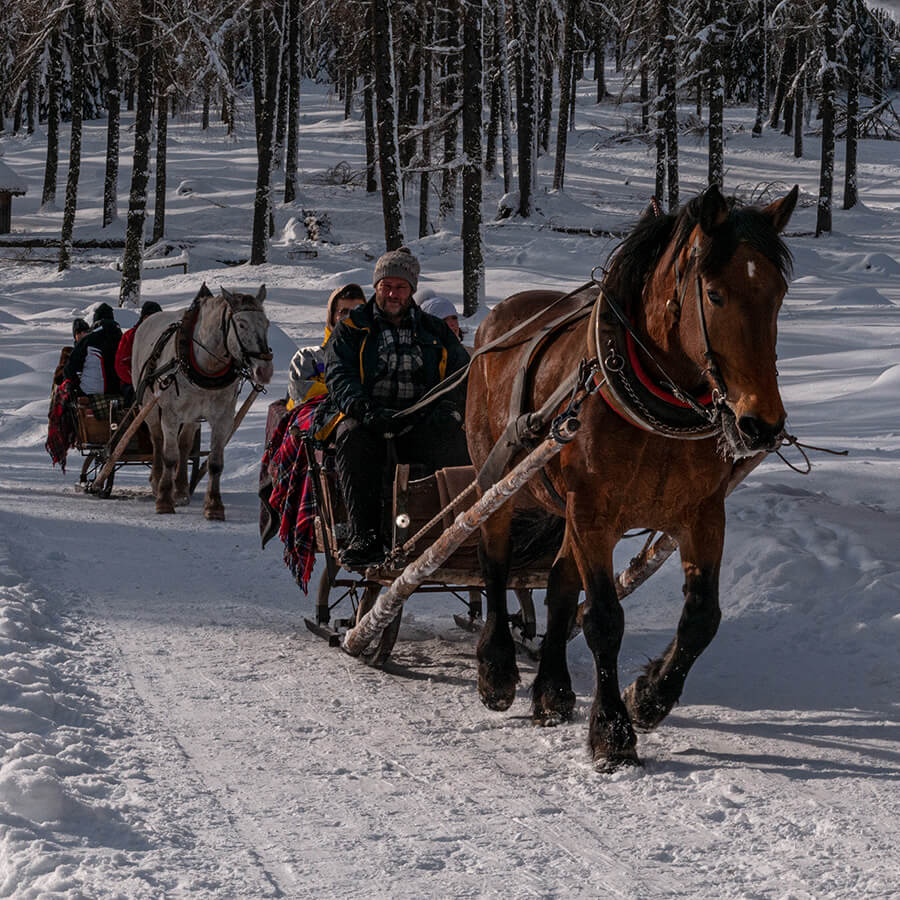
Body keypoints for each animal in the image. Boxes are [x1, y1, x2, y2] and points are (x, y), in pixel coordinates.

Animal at [131, 283, 273, 520]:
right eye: (242, 324)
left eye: (267, 323)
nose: (265, 371)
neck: (206, 365)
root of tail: (147, 321)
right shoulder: (170, 415)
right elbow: (170, 456)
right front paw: (164, 500)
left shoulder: (223, 417)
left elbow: (215, 463)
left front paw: (214, 505)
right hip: (148, 406)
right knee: (158, 441)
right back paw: (157, 482)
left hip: (193, 416)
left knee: (184, 444)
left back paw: (181, 490)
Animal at [466, 184, 798, 771]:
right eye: (714, 295)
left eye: (778, 293)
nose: (762, 424)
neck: (655, 401)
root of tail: (497, 315)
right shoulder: (593, 512)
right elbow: (603, 619)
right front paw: (613, 732)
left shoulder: (702, 512)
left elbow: (701, 617)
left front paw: (648, 696)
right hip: (499, 480)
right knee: (496, 566)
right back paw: (499, 669)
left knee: (557, 587)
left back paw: (552, 690)